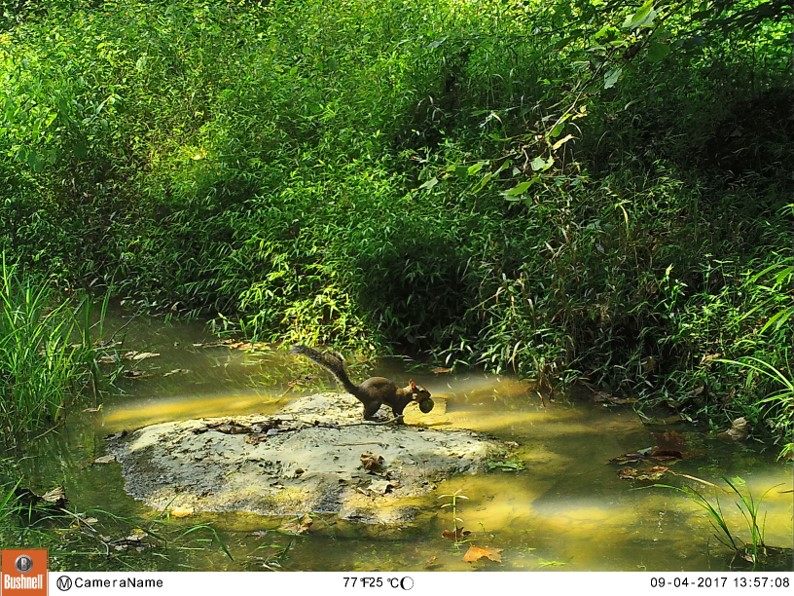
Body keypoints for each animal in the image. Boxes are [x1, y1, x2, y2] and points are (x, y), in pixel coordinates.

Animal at [290, 342, 434, 422]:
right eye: (422, 391)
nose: (430, 395)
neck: (406, 394)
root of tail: (358, 390)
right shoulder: (398, 404)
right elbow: (397, 413)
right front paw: (402, 422)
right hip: (375, 402)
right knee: (365, 416)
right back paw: (376, 418)